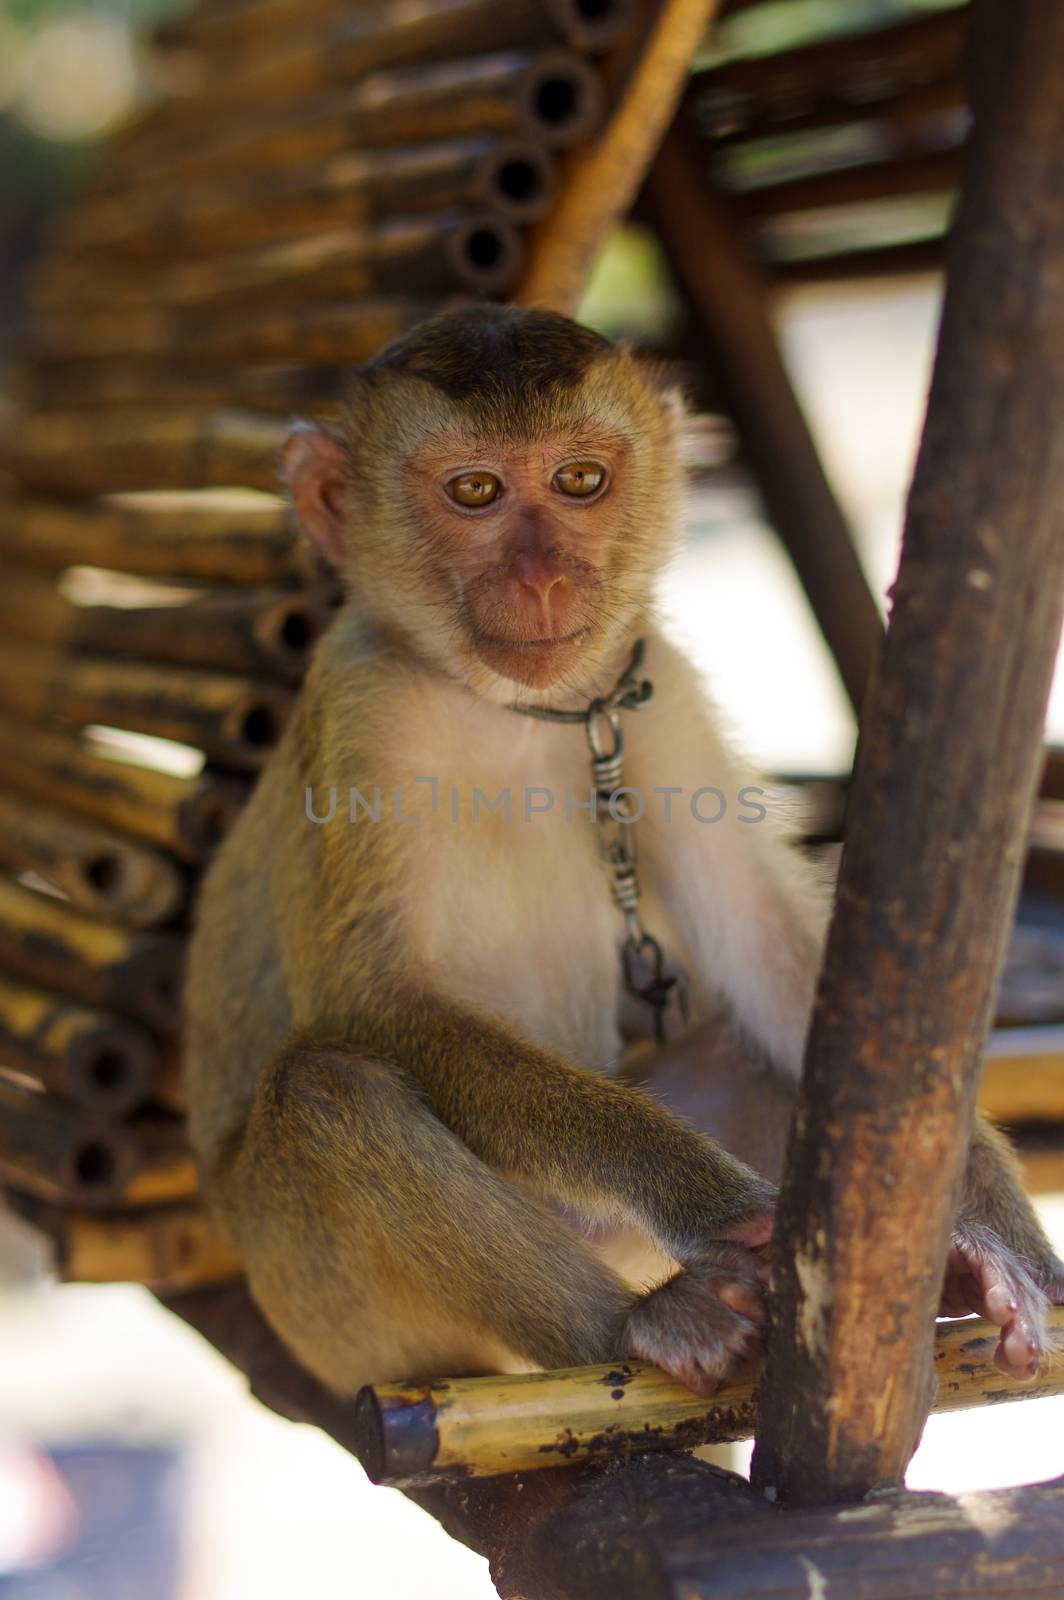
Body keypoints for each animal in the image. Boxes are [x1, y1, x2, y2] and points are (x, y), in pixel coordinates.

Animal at [184, 302, 1062, 1401]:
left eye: (578, 480)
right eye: (474, 491)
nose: (544, 579)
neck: (512, 711)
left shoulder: (655, 691)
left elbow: (778, 961)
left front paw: (993, 1232)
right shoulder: (357, 706)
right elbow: (374, 1004)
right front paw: (702, 1198)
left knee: (738, 1046)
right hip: (327, 1314)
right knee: (327, 1094)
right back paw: (644, 1323)